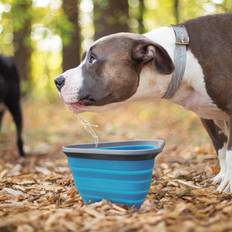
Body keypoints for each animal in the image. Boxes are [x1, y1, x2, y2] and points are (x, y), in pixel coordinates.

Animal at [55, 14, 232, 192]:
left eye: (92, 59)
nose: (58, 80)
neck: (185, 59)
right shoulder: (208, 117)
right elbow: (221, 149)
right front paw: (222, 177)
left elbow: (230, 151)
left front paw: (228, 182)